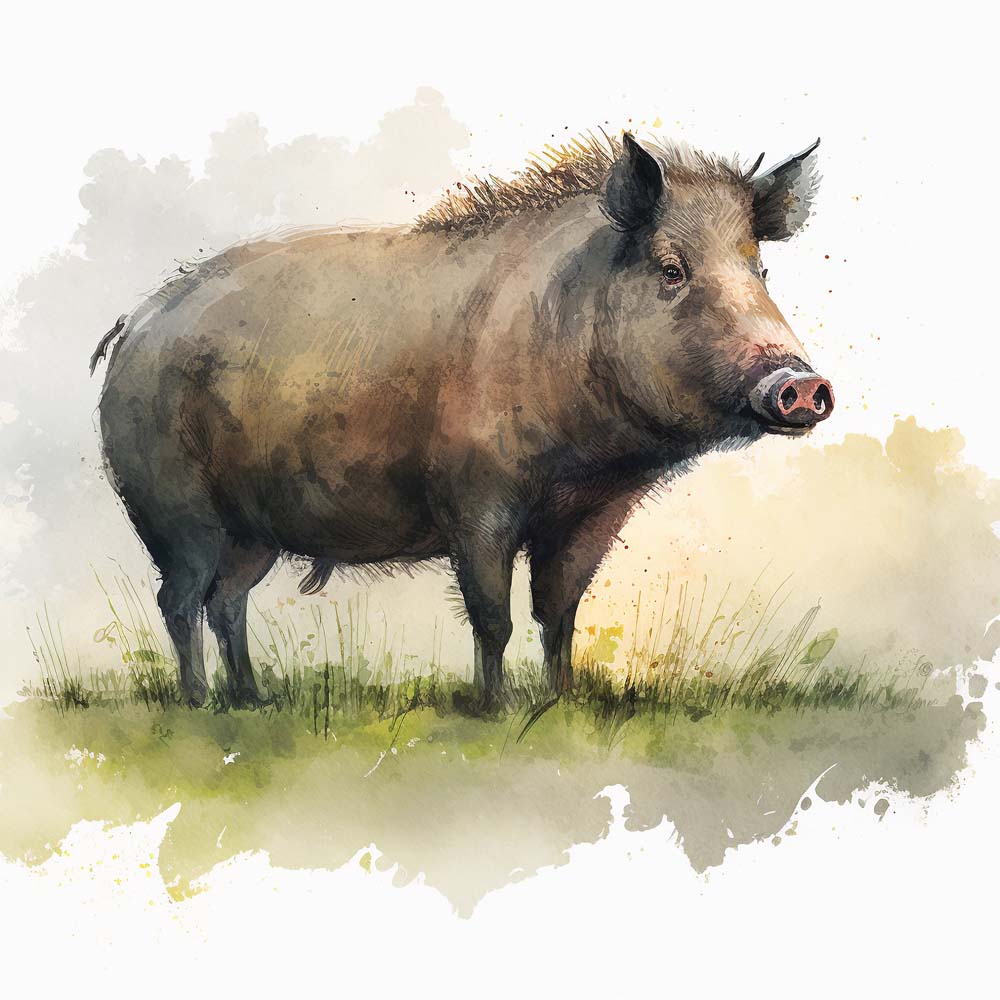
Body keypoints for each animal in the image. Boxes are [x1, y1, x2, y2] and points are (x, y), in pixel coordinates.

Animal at [90, 131, 833, 708]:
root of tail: (133, 325)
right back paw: (199, 703)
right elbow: (492, 617)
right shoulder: (476, 501)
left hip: (254, 532)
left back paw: (254, 700)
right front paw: (492, 711)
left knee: (227, 601)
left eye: (760, 271)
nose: (801, 384)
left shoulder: (593, 512)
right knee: (179, 600)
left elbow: (558, 614)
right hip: (173, 507)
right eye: (672, 269)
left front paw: (561, 703)